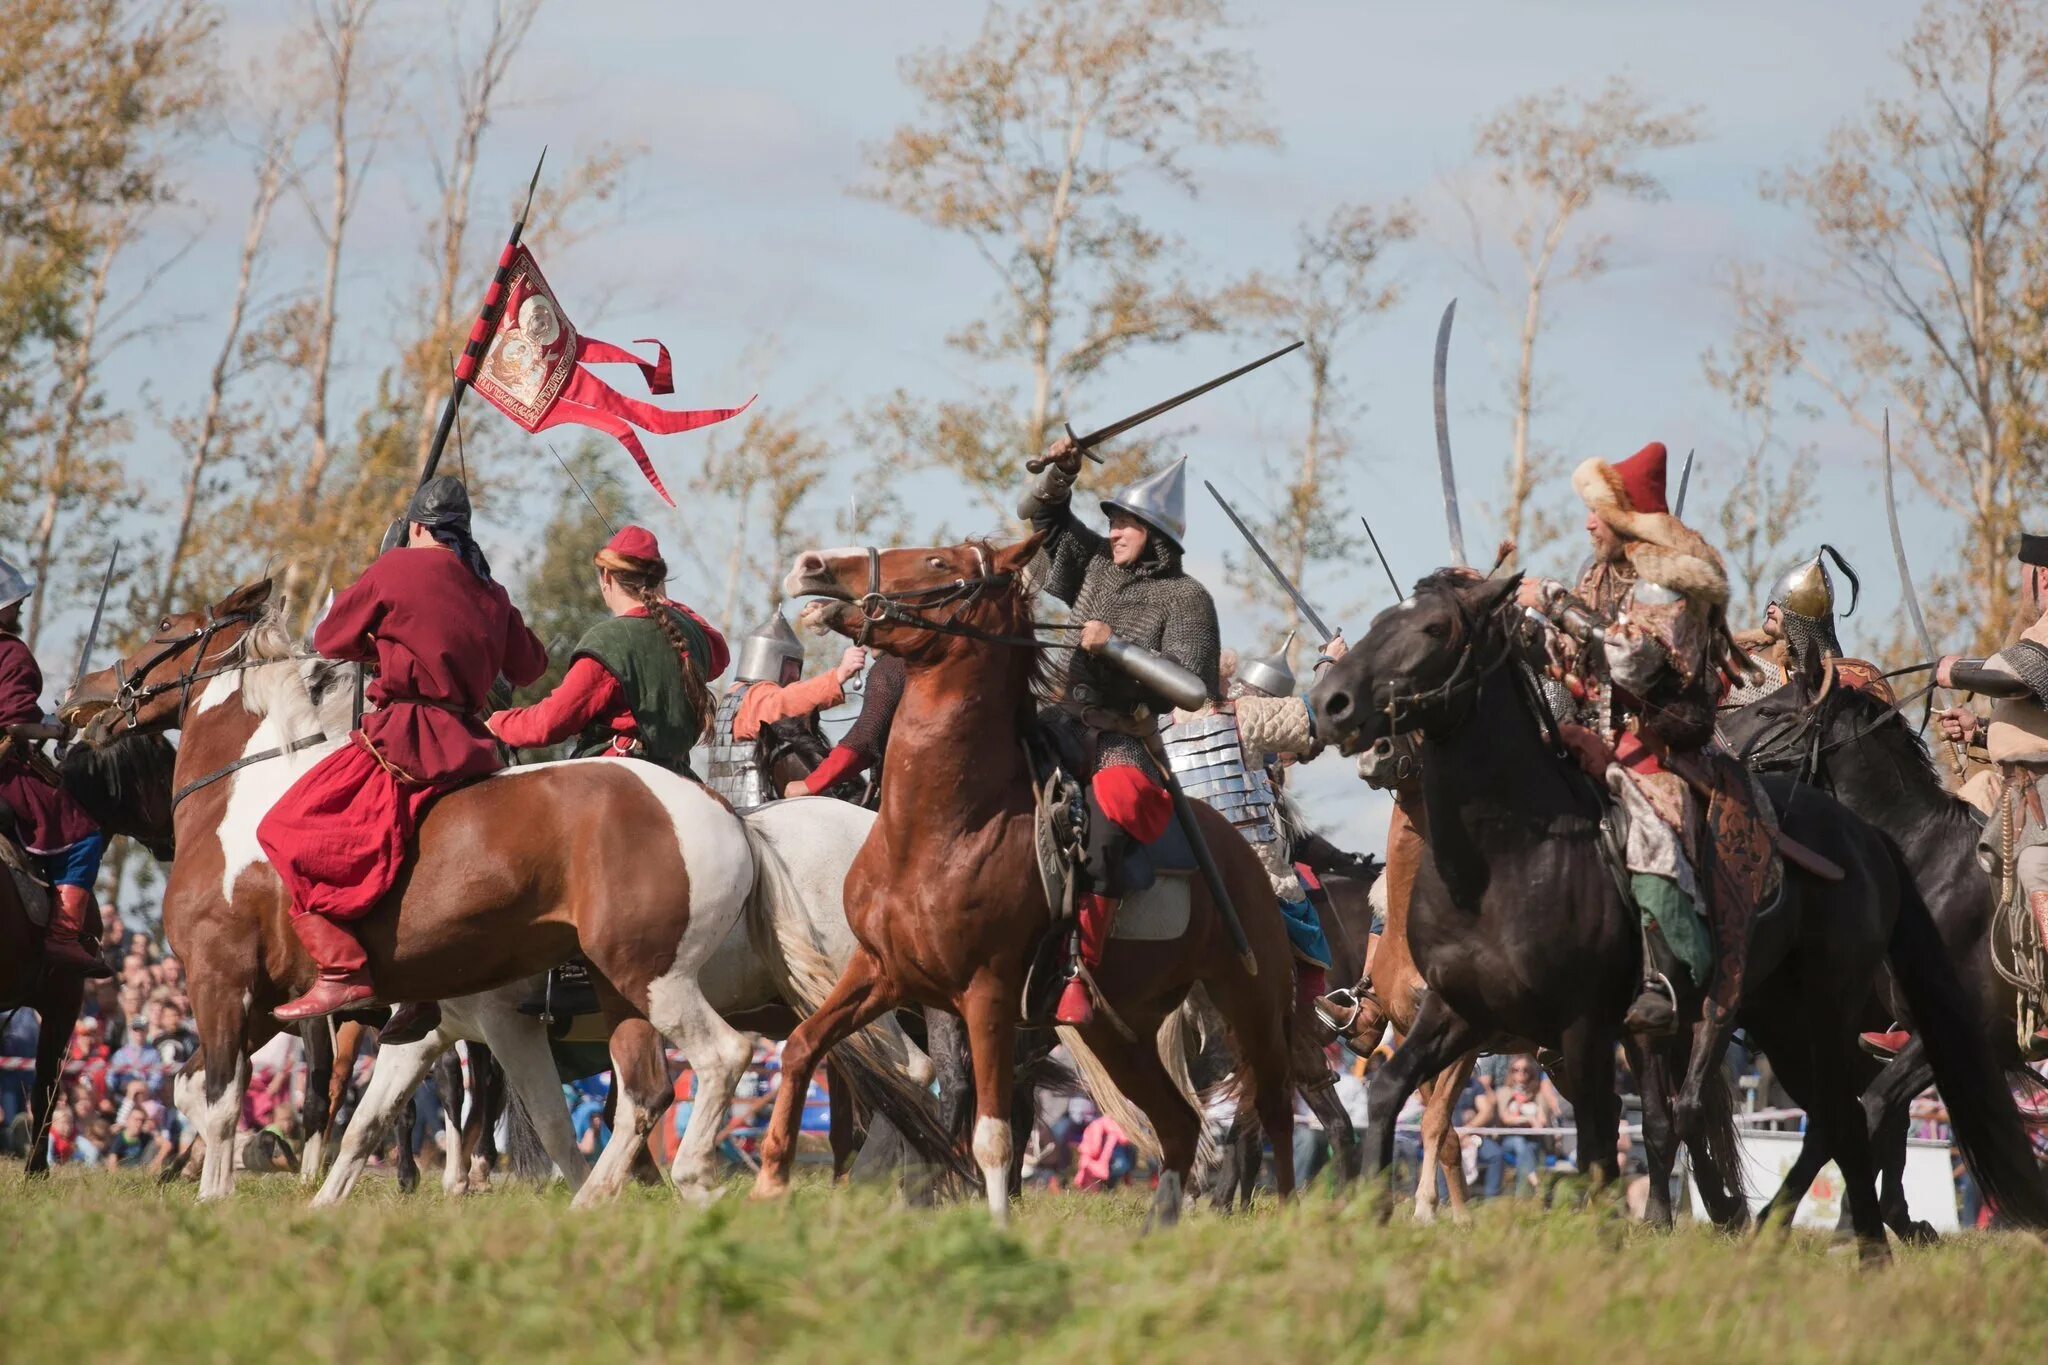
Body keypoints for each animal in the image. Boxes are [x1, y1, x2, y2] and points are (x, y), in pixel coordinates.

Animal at [68, 581, 765, 1203]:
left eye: (165, 627)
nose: (82, 696)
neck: (242, 795)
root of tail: (724, 816)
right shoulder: (284, 1002)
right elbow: (215, 1092)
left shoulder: (222, 978)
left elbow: (222, 1099)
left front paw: (218, 1193)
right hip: (618, 992)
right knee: (638, 1095)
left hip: (653, 981)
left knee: (721, 1057)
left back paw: (691, 1176)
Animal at [749, 536, 1294, 1227]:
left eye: (937, 563)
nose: (812, 567)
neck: (943, 826)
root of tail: (1244, 850)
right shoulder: (880, 972)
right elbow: (802, 1046)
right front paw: (771, 1181)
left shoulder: (986, 995)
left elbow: (993, 1134)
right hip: (1116, 1027)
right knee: (1178, 1124)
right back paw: (1159, 1227)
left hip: (1251, 999)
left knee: (1273, 1107)